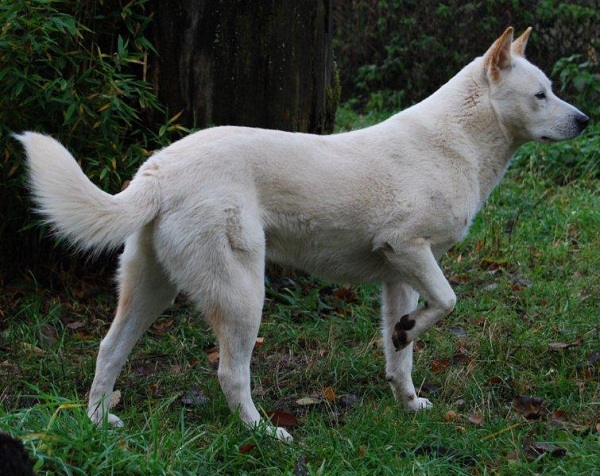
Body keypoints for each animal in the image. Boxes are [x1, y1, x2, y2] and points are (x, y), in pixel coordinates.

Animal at [16, 27, 588, 440]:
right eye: (541, 95)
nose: (584, 120)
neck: (457, 141)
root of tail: (159, 171)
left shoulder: (399, 274)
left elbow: (400, 354)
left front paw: (408, 399)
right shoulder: (409, 249)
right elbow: (448, 301)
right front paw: (412, 336)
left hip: (150, 288)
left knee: (109, 350)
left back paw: (97, 422)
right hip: (243, 295)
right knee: (230, 374)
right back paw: (264, 434)